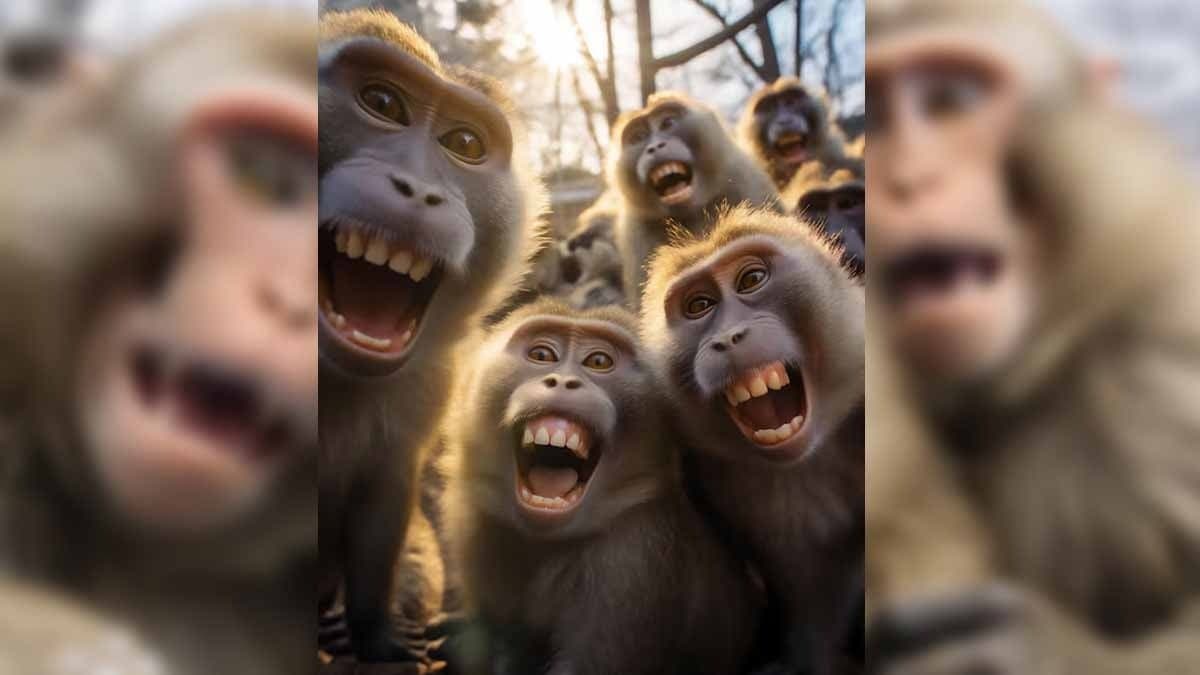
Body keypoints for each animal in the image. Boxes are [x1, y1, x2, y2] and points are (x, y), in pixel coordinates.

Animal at [317, 9, 545, 663]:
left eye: (464, 144)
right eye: (382, 103)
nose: (419, 190)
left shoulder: (431, 380)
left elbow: (385, 489)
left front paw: (373, 629)